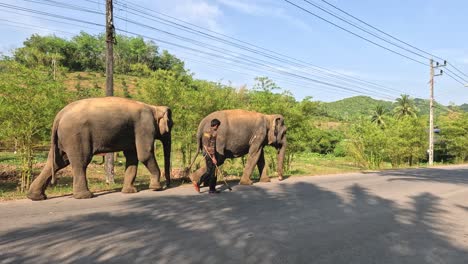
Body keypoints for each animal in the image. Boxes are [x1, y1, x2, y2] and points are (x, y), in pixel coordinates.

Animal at [26, 97, 172, 200]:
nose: (168, 185)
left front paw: (129, 192)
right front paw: (156, 188)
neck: (154, 107)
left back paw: (36, 197)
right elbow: (144, 154)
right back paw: (85, 196)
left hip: (62, 139)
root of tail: (59, 115)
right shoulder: (144, 126)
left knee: (57, 162)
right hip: (76, 137)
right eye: (171, 124)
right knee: (80, 162)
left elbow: (132, 157)